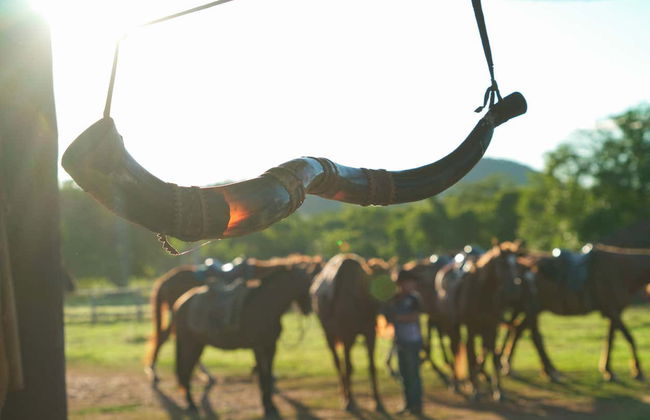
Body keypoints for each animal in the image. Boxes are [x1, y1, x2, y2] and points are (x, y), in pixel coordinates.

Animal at [172, 255, 321, 416]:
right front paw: (267, 408)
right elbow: (263, 376)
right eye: (314, 278)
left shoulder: (270, 346)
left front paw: (271, 406)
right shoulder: (259, 347)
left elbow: (267, 376)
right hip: (188, 344)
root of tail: (180, 303)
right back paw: (191, 404)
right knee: (185, 372)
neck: (265, 305)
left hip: (197, 345)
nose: (311, 307)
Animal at [310, 254, 395, 412]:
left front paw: (377, 402)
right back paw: (344, 395)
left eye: (393, 285)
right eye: (377, 286)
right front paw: (349, 401)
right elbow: (349, 367)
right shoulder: (347, 336)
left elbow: (371, 367)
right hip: (330, 335)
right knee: (339, 364)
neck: (359, 299)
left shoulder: (370, 335)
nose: (390, 312)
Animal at [435, 241, 523, 401]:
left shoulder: (492, 326)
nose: (514, 290)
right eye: (502, 264)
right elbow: (471, 355)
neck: (483, 292)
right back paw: (456, 383)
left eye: (517, 264)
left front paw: (497, 390)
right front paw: (475, 390)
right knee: (455, 349)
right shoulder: (471, 327)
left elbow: (493, 356)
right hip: (452, 325)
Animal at [500, 220, 650, 382]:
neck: (622, 270)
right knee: (532, 336)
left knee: (518, 331)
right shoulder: (612, 310)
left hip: (531, 309)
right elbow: (628, 337)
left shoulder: (615, 311)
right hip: (533, 309)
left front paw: (608, 370)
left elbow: (610, 339)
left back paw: (514, 366)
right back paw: (549, 370)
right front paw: (637, 370)